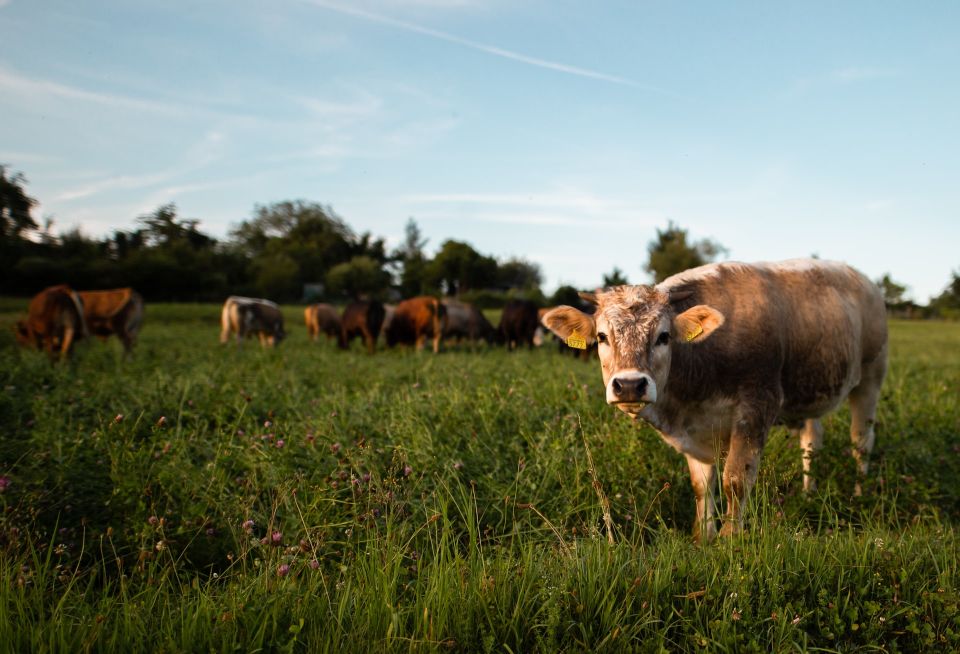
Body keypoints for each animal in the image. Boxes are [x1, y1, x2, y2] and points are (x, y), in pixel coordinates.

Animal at [544, 260, 888, 544]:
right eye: (602, 337)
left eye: (664, 336)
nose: (629, 385)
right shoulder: (694, 430)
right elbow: (701, 484)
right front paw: (703, 536)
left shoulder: (757, 404)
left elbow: (735, 479)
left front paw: (729, 539)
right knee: (811, 442)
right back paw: (808, 493)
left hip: (870, 379)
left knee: (862, 441)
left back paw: (859, 494)